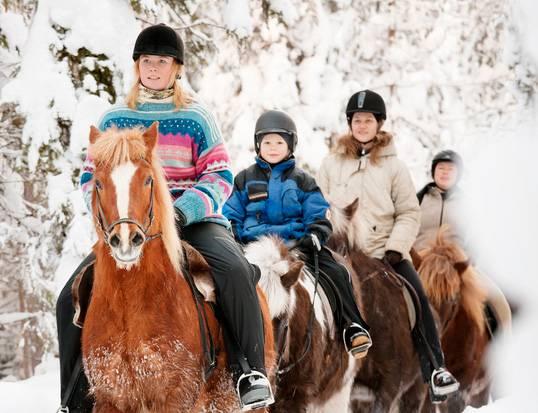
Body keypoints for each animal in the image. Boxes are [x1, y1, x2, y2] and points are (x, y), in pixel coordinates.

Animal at [82, 123, 276, 412]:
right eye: (98, 182)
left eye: (148, 180)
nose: (126, 240)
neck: (130, 304)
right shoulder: (110, 399)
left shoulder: (175, 397)